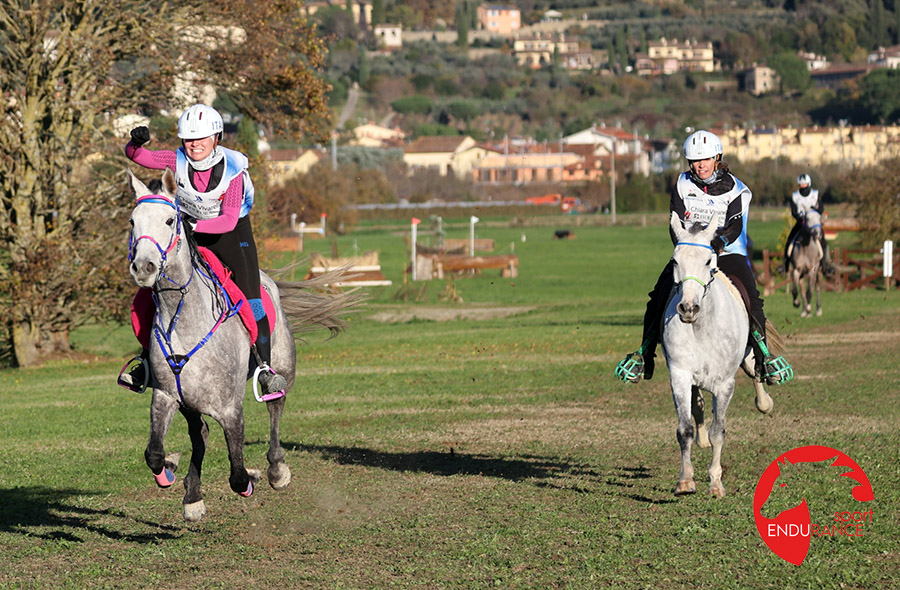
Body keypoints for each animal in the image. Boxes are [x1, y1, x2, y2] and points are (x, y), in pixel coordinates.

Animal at [127, 170, 358, 524]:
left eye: (169, 220)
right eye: (132, 222)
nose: (144, 268)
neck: (185, 318)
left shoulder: (230, 408)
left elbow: (237, 473)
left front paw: (253, 477)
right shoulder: (166, 396)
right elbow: (154, 452)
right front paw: (171, 472)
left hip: (282, 368)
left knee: (276, 406)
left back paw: (276, 470)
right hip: (190, 402)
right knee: (200, 434)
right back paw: (193, 496)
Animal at [660, 213, 772, 500]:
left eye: (708, 261)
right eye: (675, 260)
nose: (688, 308)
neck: (701, 328)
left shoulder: (724, 385)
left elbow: (718, 432)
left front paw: (716, 484)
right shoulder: (679, 376)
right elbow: (685, 429)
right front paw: (685, 481)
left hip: (749, 357)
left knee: (756, 372)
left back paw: (765, 402)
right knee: (697, 405)